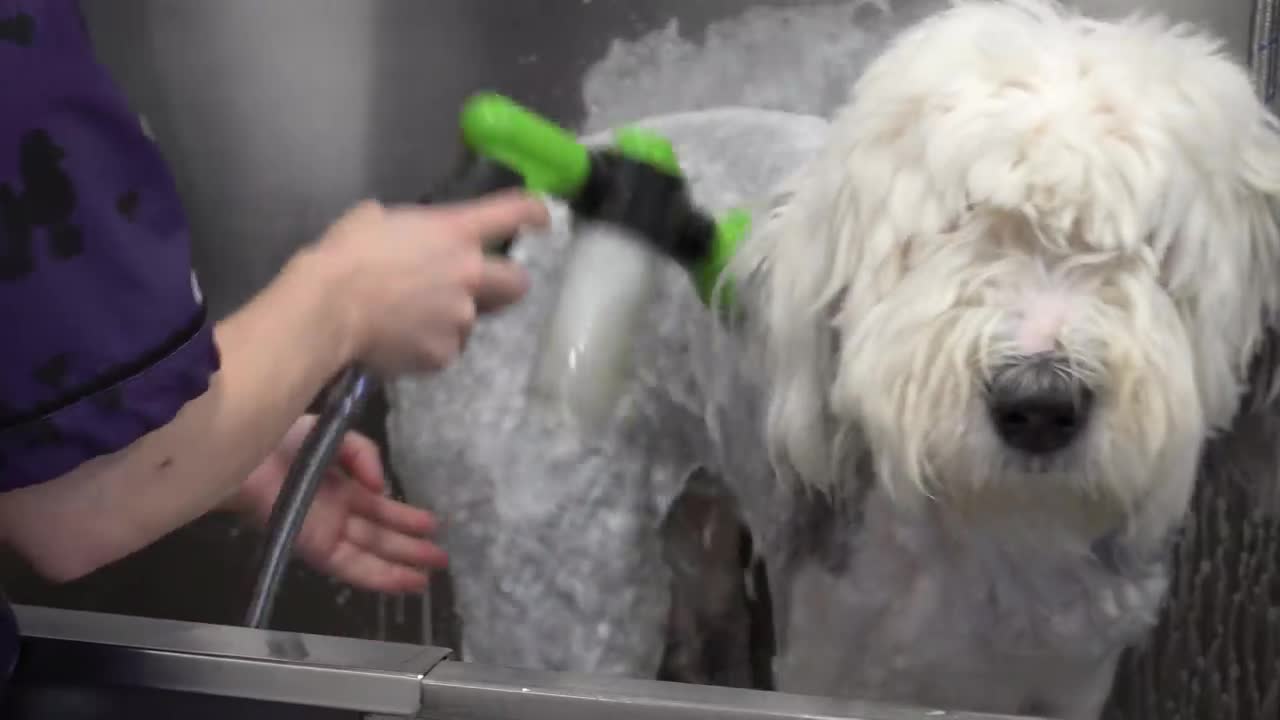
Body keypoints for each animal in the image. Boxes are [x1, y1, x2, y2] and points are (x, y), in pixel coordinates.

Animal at [386, 1, 1280, 717]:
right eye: (954, 222)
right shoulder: (835, 662)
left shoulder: (1069, 678)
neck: (999, 540)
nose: (1037, 403)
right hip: (557, 579)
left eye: (1149, 243)